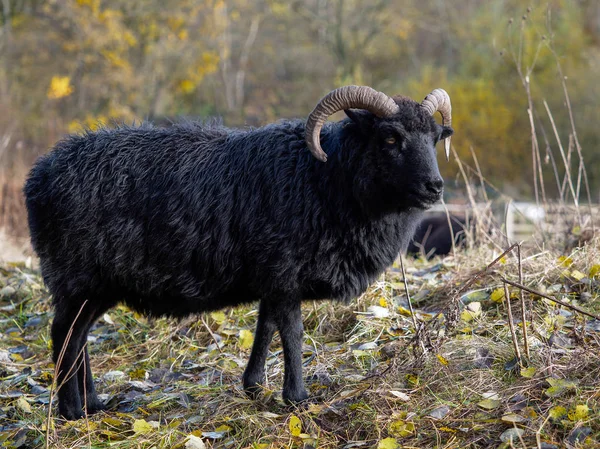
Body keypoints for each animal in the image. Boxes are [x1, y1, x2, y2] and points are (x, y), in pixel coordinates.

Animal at [24, 86, 454, 418]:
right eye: (390, 138)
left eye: (435, 137)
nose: (435, 186)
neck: (325, 177)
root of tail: (38, 176)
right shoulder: (284, 273)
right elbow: (292, 333)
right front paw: (297, 398)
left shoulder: (272, 278)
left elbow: (265, 327)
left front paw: (254, 387)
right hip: (77, 276)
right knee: (64, 335)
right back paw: (73, 411)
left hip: (96, 285)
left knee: (78, 337)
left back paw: (94, 403)